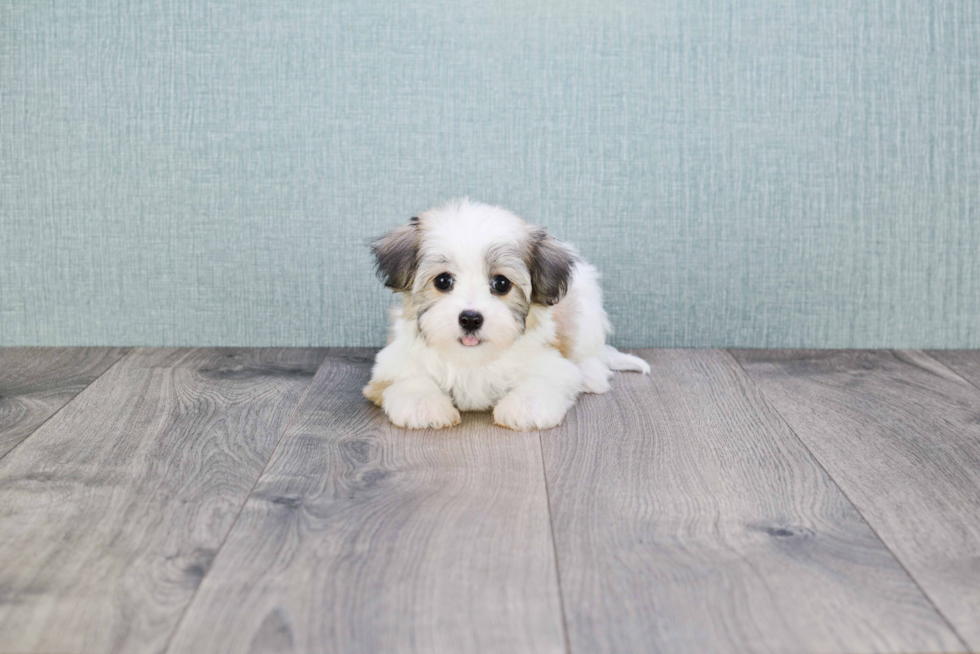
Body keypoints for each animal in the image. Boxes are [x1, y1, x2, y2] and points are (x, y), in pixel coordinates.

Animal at [364, 197, 648, 430]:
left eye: (501, 284)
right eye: (443, 281)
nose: (470, 318)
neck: (472, 360)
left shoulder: (550, 361)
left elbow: (544, 378)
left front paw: (525, 406)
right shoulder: (392, 363)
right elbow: (407, 378)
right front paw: (422, 404)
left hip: (586, 306)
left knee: (591, 352)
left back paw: (590, 375)